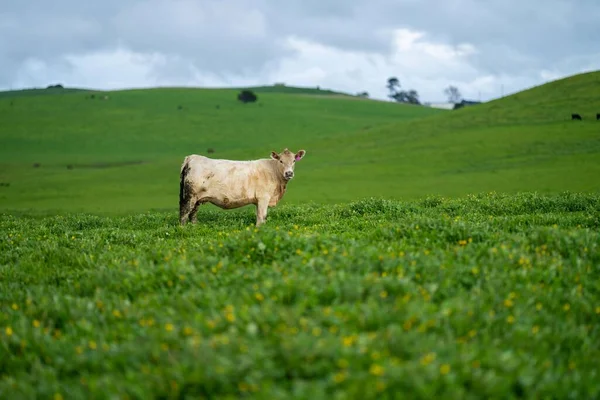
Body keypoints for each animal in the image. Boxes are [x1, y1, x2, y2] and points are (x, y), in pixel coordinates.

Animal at [179, 148, 308, 227]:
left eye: (294, 161)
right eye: (281, 161)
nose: (289, 173)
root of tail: (192, 157)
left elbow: (259, 216)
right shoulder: (263, 198)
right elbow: (262, 216)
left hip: (197, 199)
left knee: (193, 214)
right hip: (190, 196)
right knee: (184, 213)